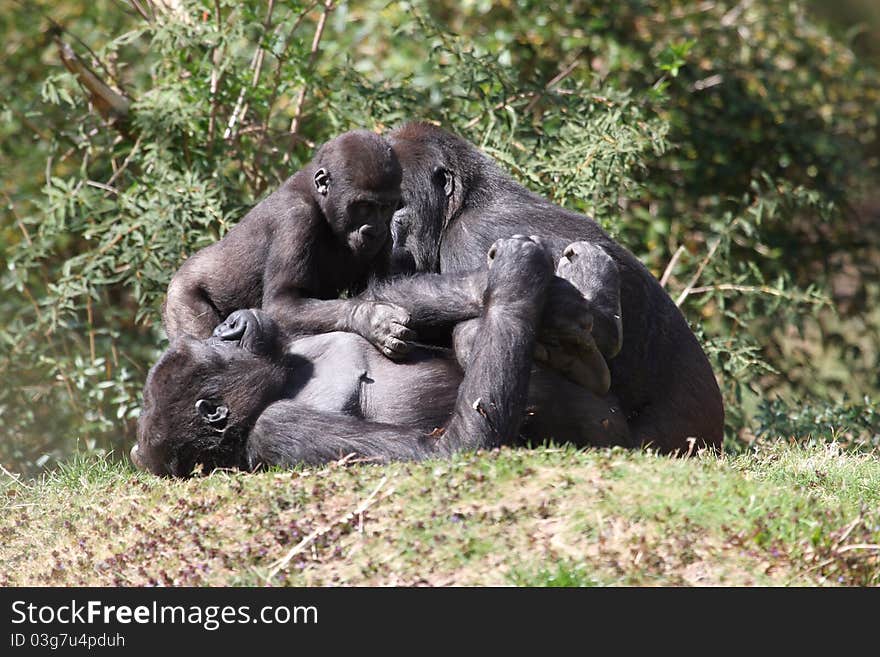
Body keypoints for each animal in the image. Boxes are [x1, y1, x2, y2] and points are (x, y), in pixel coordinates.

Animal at [131, 237, 628, 476]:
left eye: (215, 342)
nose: (228, 326)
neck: (284, 380)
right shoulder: (272, 428)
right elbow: (452, 449)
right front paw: (512, 276)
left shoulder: (285, 336)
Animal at [161, 128, 412, 358]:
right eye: (363, 206)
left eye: (385, 207)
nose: (374, 230)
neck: (319, 199)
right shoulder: (296, 217)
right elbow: (283, 304)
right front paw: (368, 317)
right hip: (182, 294)